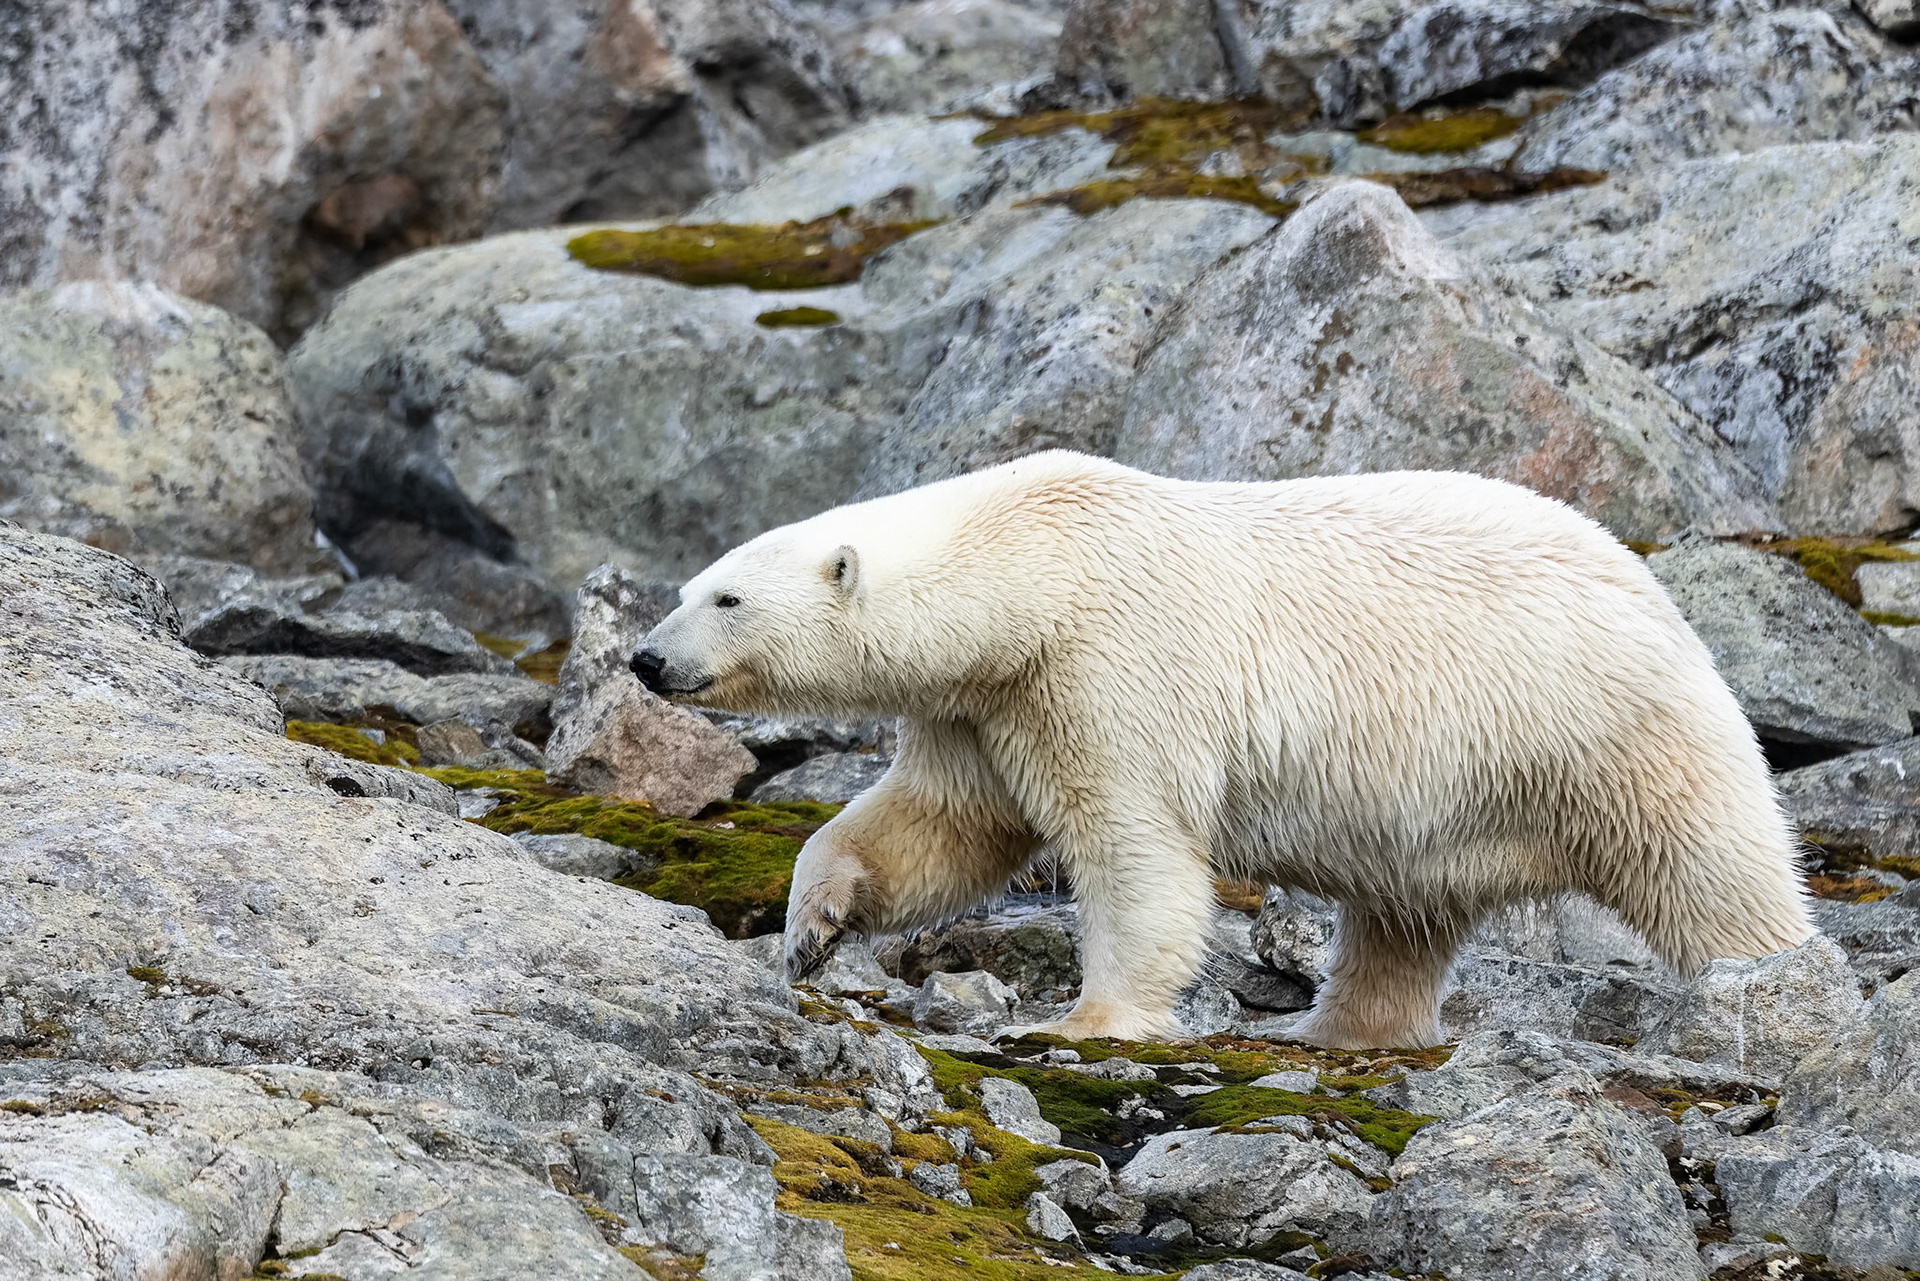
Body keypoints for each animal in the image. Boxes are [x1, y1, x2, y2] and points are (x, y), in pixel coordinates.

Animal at [632, 450, 1814, 1048]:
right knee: (1403, 916)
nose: (644, 658)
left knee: (1709, 866)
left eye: (725, 597)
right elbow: (937, 825)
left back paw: (1775, 981)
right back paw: (1347, 1031)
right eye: (690, 584)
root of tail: (1647, 579)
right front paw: (811, 930)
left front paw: (1094, 1017)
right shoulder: (985, 702)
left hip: (1598, 725)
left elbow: (1135, 846)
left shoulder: (1108, 665)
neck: (1032, 566)